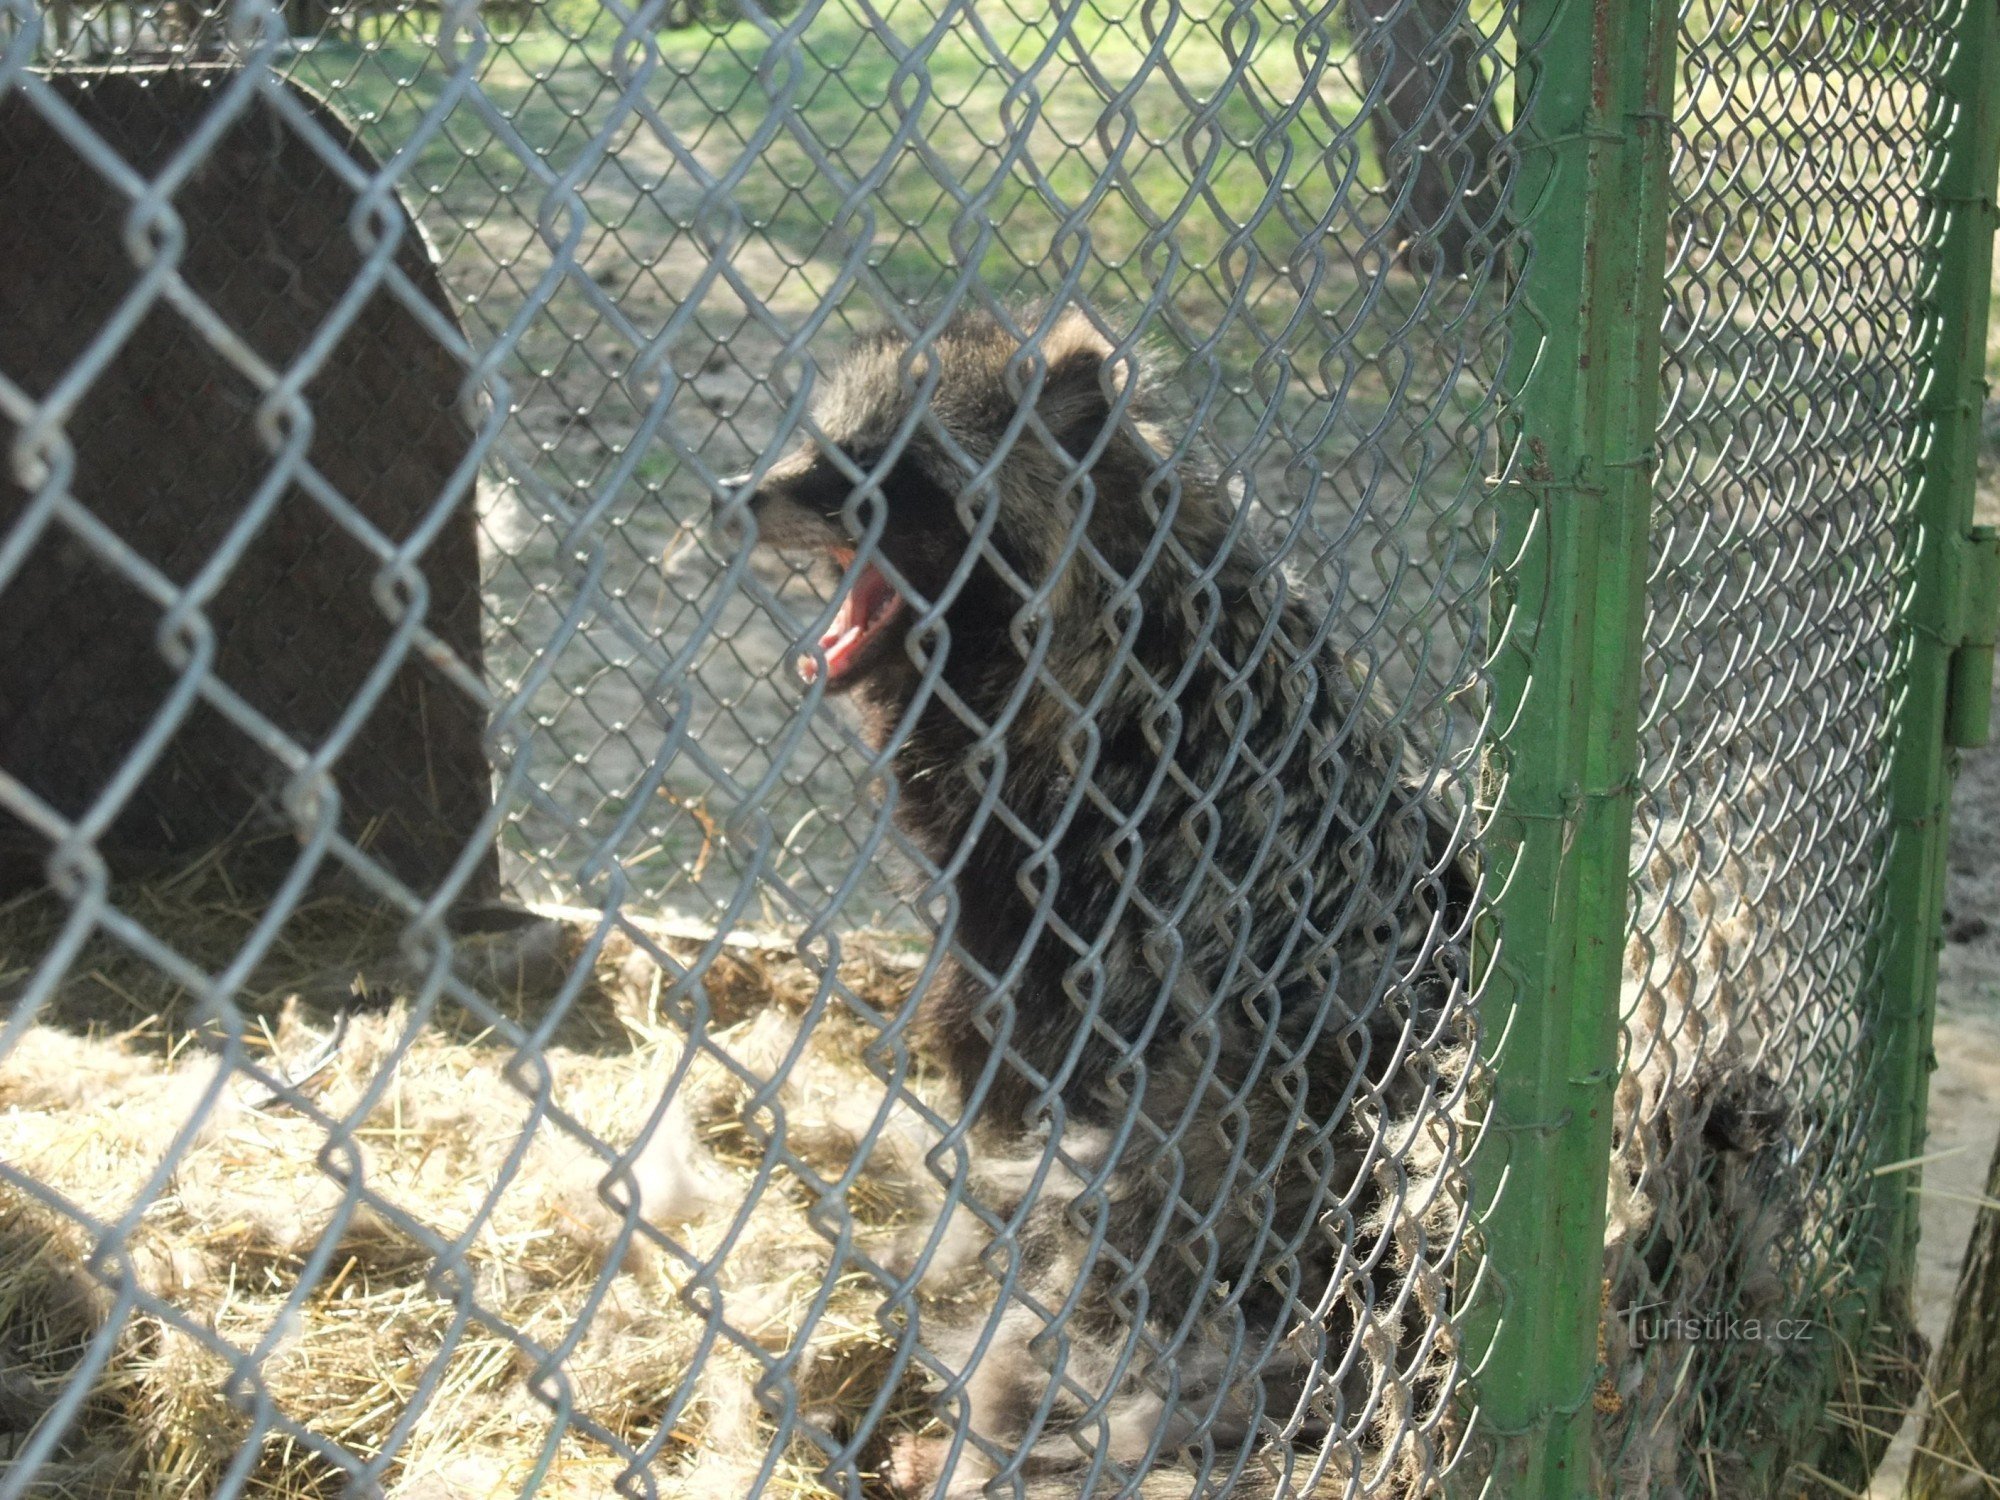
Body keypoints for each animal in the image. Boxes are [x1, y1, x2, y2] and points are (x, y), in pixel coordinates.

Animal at [736, 308, 1472, 1496]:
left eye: (898, 467)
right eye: (829, 440)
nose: (746, 494)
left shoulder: (1061, 911)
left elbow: (996, 1101)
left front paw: (942, 1247)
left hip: (1205, 1142)